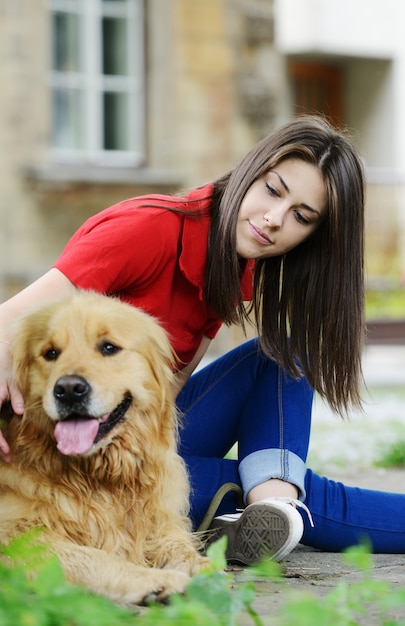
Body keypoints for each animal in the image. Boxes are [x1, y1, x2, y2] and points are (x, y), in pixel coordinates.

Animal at [0, 292, 208, 604]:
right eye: (50, 353)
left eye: (109, 348)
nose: (69, 389)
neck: (102, 477)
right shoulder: (14, 534)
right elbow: (97, 558)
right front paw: (155, 580)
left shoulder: (159, 519)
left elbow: (177, 543)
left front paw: (199, 565)